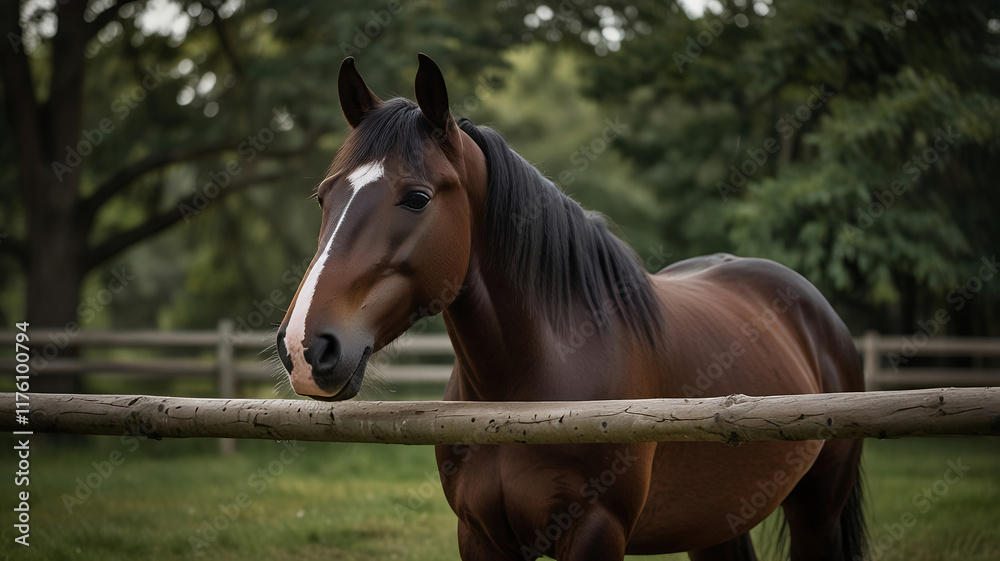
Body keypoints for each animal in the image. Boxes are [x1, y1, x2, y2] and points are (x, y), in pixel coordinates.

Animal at [276, 54, 867, 560]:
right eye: (324, 197)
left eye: (417, 198)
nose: (305, 347)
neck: (523, 401)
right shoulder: (481, 538)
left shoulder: (593, 533)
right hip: (716, 525)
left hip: (817, 510)